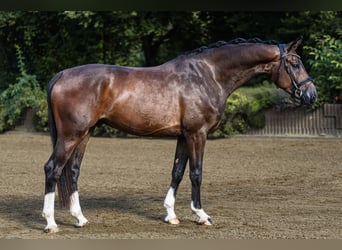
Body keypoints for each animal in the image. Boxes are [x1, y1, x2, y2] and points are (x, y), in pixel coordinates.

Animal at [42, 37, 318, 232]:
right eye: (295, 63)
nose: (311, 94)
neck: (208, 75)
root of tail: (62, 74)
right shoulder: (198, 134)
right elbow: (196, 173)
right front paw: (201, 215)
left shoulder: (184, 135)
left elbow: (177, 171)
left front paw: (171, 215)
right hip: (71, 135)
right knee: (53, 169)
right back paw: (50, 223)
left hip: (85, 133)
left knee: (72, 170)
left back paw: (79, 218)